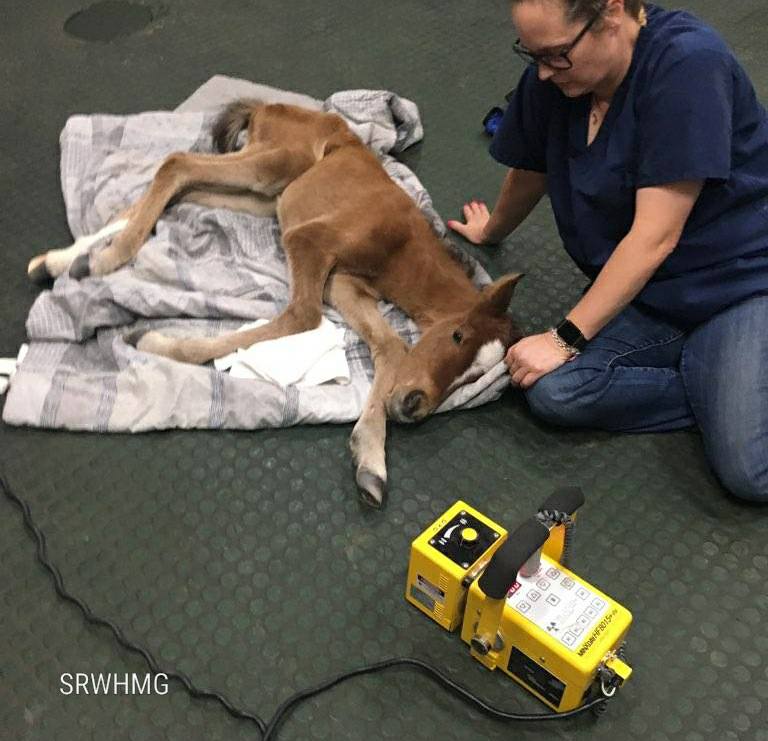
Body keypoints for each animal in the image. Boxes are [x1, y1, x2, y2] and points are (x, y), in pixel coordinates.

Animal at [27, 100, 523, 508]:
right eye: (457, 335)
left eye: (476, 376)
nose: (413, 405)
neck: (403, 248)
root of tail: (269, 105)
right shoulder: (309, 241)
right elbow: (304, 315)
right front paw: (152, 342)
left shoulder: (345, 286)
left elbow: (392, 346)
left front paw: (370, 462)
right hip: (271, 167)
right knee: (177, 163)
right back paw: (103, 259)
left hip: (264, 197)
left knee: (181, 192)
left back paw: (66, 261)